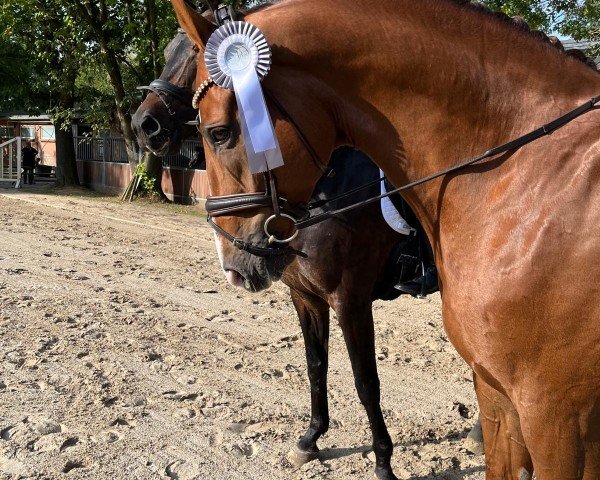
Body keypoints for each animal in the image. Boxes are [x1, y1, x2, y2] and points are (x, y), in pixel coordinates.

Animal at [134, 27, 448, 480]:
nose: (145, 124)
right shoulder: (305, 297)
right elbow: (316, 366)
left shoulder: (350, 301)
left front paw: (383, 461)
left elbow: (365, 381)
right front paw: (311, 439)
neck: (327, 187)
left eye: (195, 52)